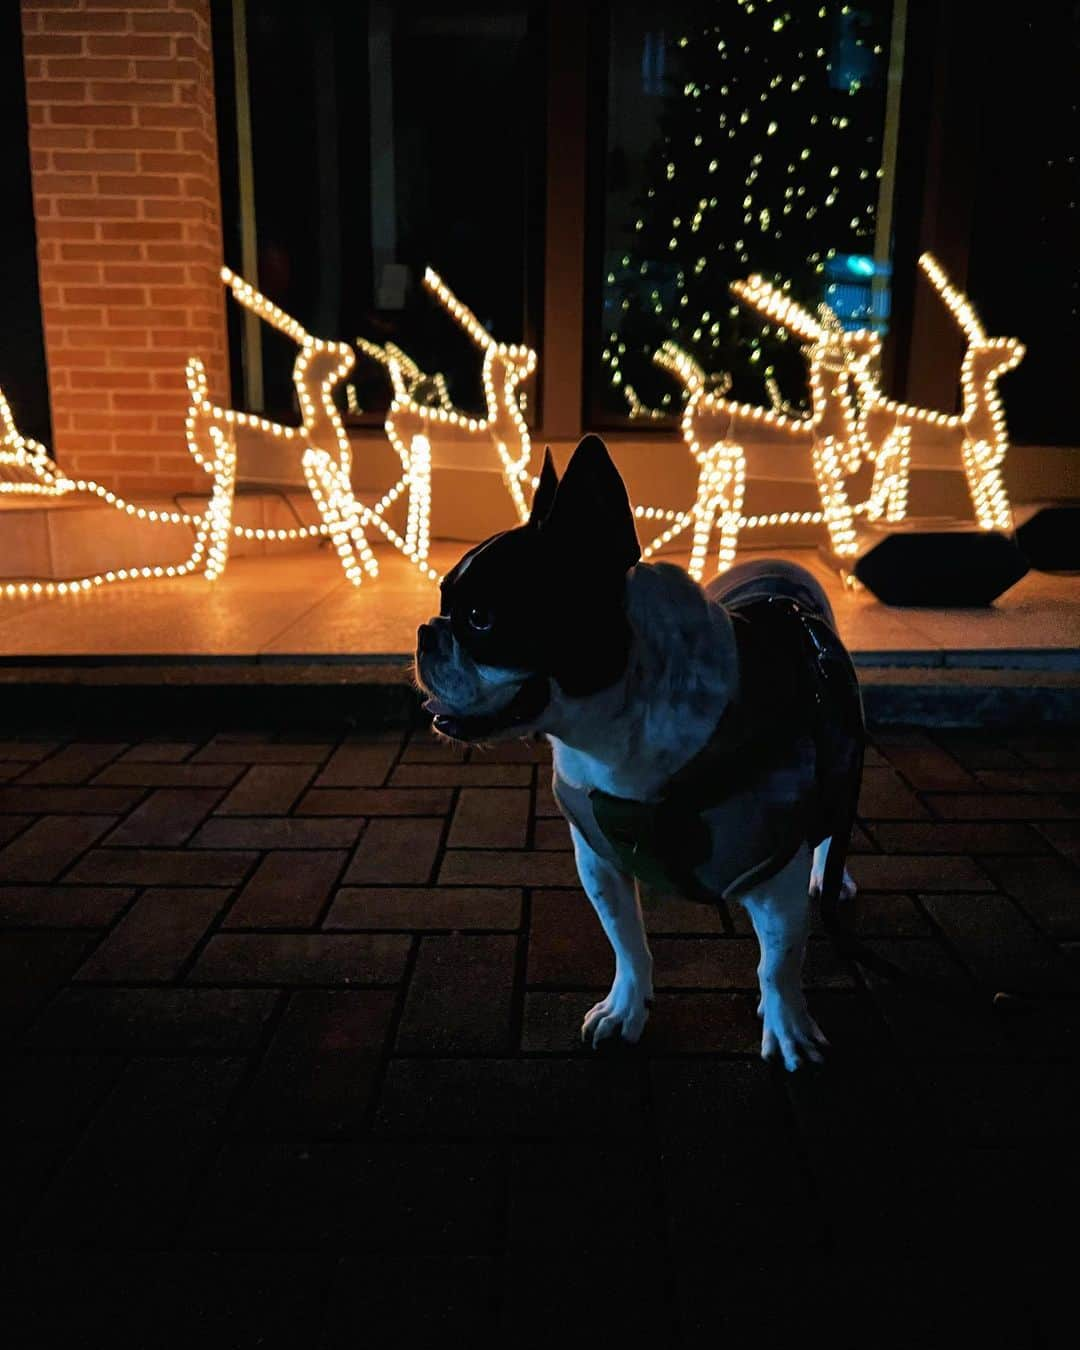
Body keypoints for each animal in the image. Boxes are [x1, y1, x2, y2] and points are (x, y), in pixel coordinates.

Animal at [413, 437, 858, 1069]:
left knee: (831, 825)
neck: (611, 727)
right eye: (445, 602)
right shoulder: (598, 858)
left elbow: (778, 962)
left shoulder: (773, 876)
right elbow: (625, 940)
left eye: (480, 618)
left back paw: (831, 875)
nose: (427, 631)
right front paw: (626, 1009)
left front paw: (789, 1028)